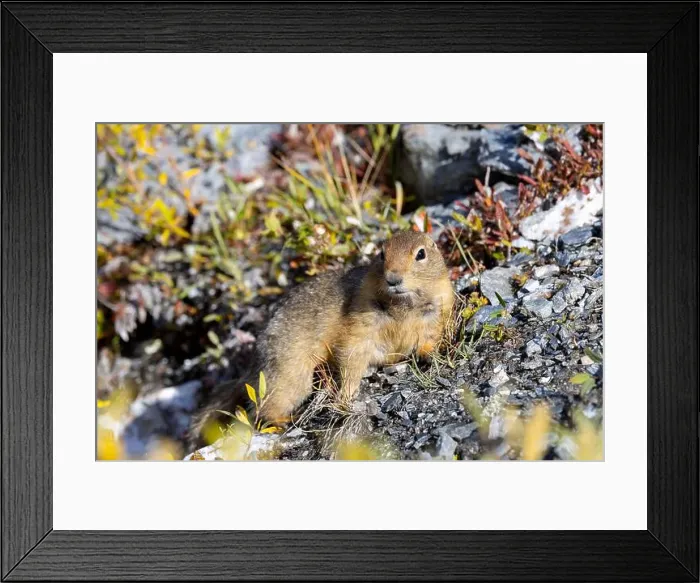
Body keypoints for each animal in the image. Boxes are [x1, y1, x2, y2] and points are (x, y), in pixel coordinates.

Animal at [188, 230, 454, 448]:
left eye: (421, 254)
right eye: (381, 254)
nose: (393, 278)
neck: (403, 305)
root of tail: (252, 368)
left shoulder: (439, 310)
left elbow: (429, 338)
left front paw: (430, 355)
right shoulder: (360, 324)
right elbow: (351, 356)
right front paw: (346, 396)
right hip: (291, 376)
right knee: (262, 409)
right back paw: (287, 419)